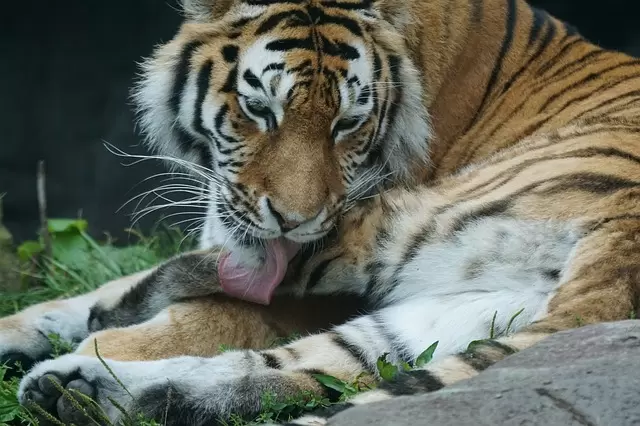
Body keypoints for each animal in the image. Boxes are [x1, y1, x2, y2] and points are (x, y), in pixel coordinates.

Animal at [2, 0, 640, 424]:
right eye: (259, 109)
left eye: (348, 123)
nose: (293, 219)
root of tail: (621, 259)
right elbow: (73, 299)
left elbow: (199, 313)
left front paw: (107, 325)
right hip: (459, 306)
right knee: (304, 367)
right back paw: (84, 391)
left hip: (395, 226)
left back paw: (78, 374)